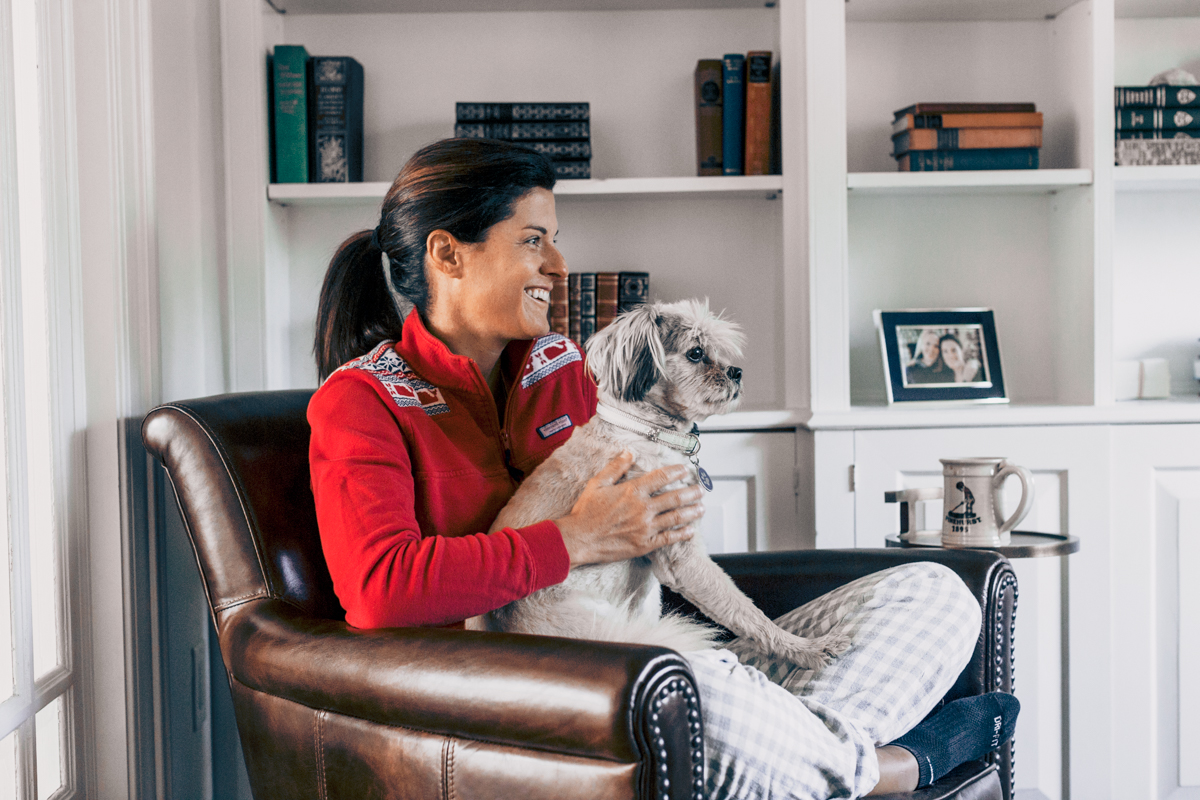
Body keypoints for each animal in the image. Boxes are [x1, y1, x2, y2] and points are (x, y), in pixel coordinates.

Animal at [468, 299, 854, 671]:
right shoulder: (682, 554)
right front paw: (807, 649)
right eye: (696, 353)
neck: (644, 430)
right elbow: (744, 611)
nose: (736, 371)